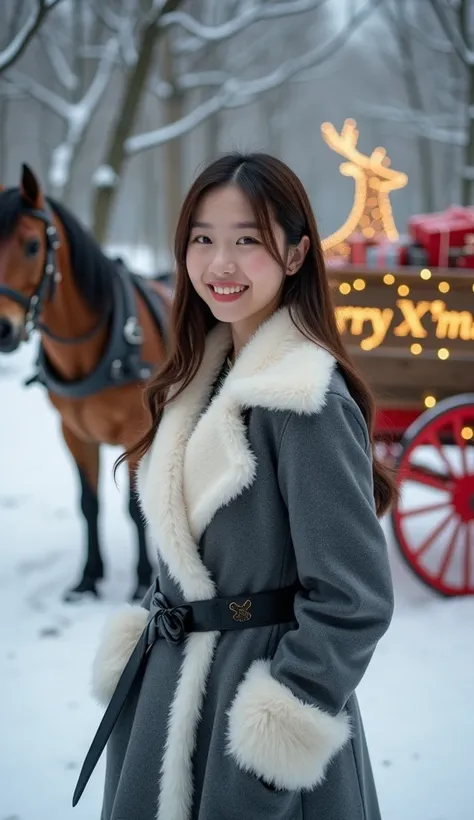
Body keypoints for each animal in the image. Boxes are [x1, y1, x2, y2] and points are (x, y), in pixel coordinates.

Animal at [0, 165, 172, 604]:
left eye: (32, 246)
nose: (1, 328)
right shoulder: (74, 432)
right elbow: (88, 503)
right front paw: (88, 579)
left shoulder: (136, 431)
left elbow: (133, 507)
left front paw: (141, 580)